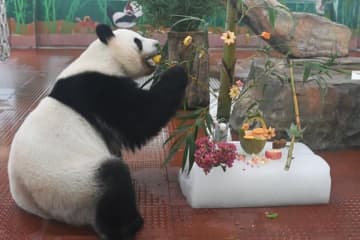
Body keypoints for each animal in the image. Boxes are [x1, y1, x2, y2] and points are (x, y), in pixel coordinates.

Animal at [8, 23, 188, 239]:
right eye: (137, 40)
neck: (104, 57)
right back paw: (130, 225)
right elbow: (140, 117)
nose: (157, 44)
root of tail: (39, 206)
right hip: (73, 185)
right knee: (112, 179)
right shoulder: (98, 89)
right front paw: (177, 71)